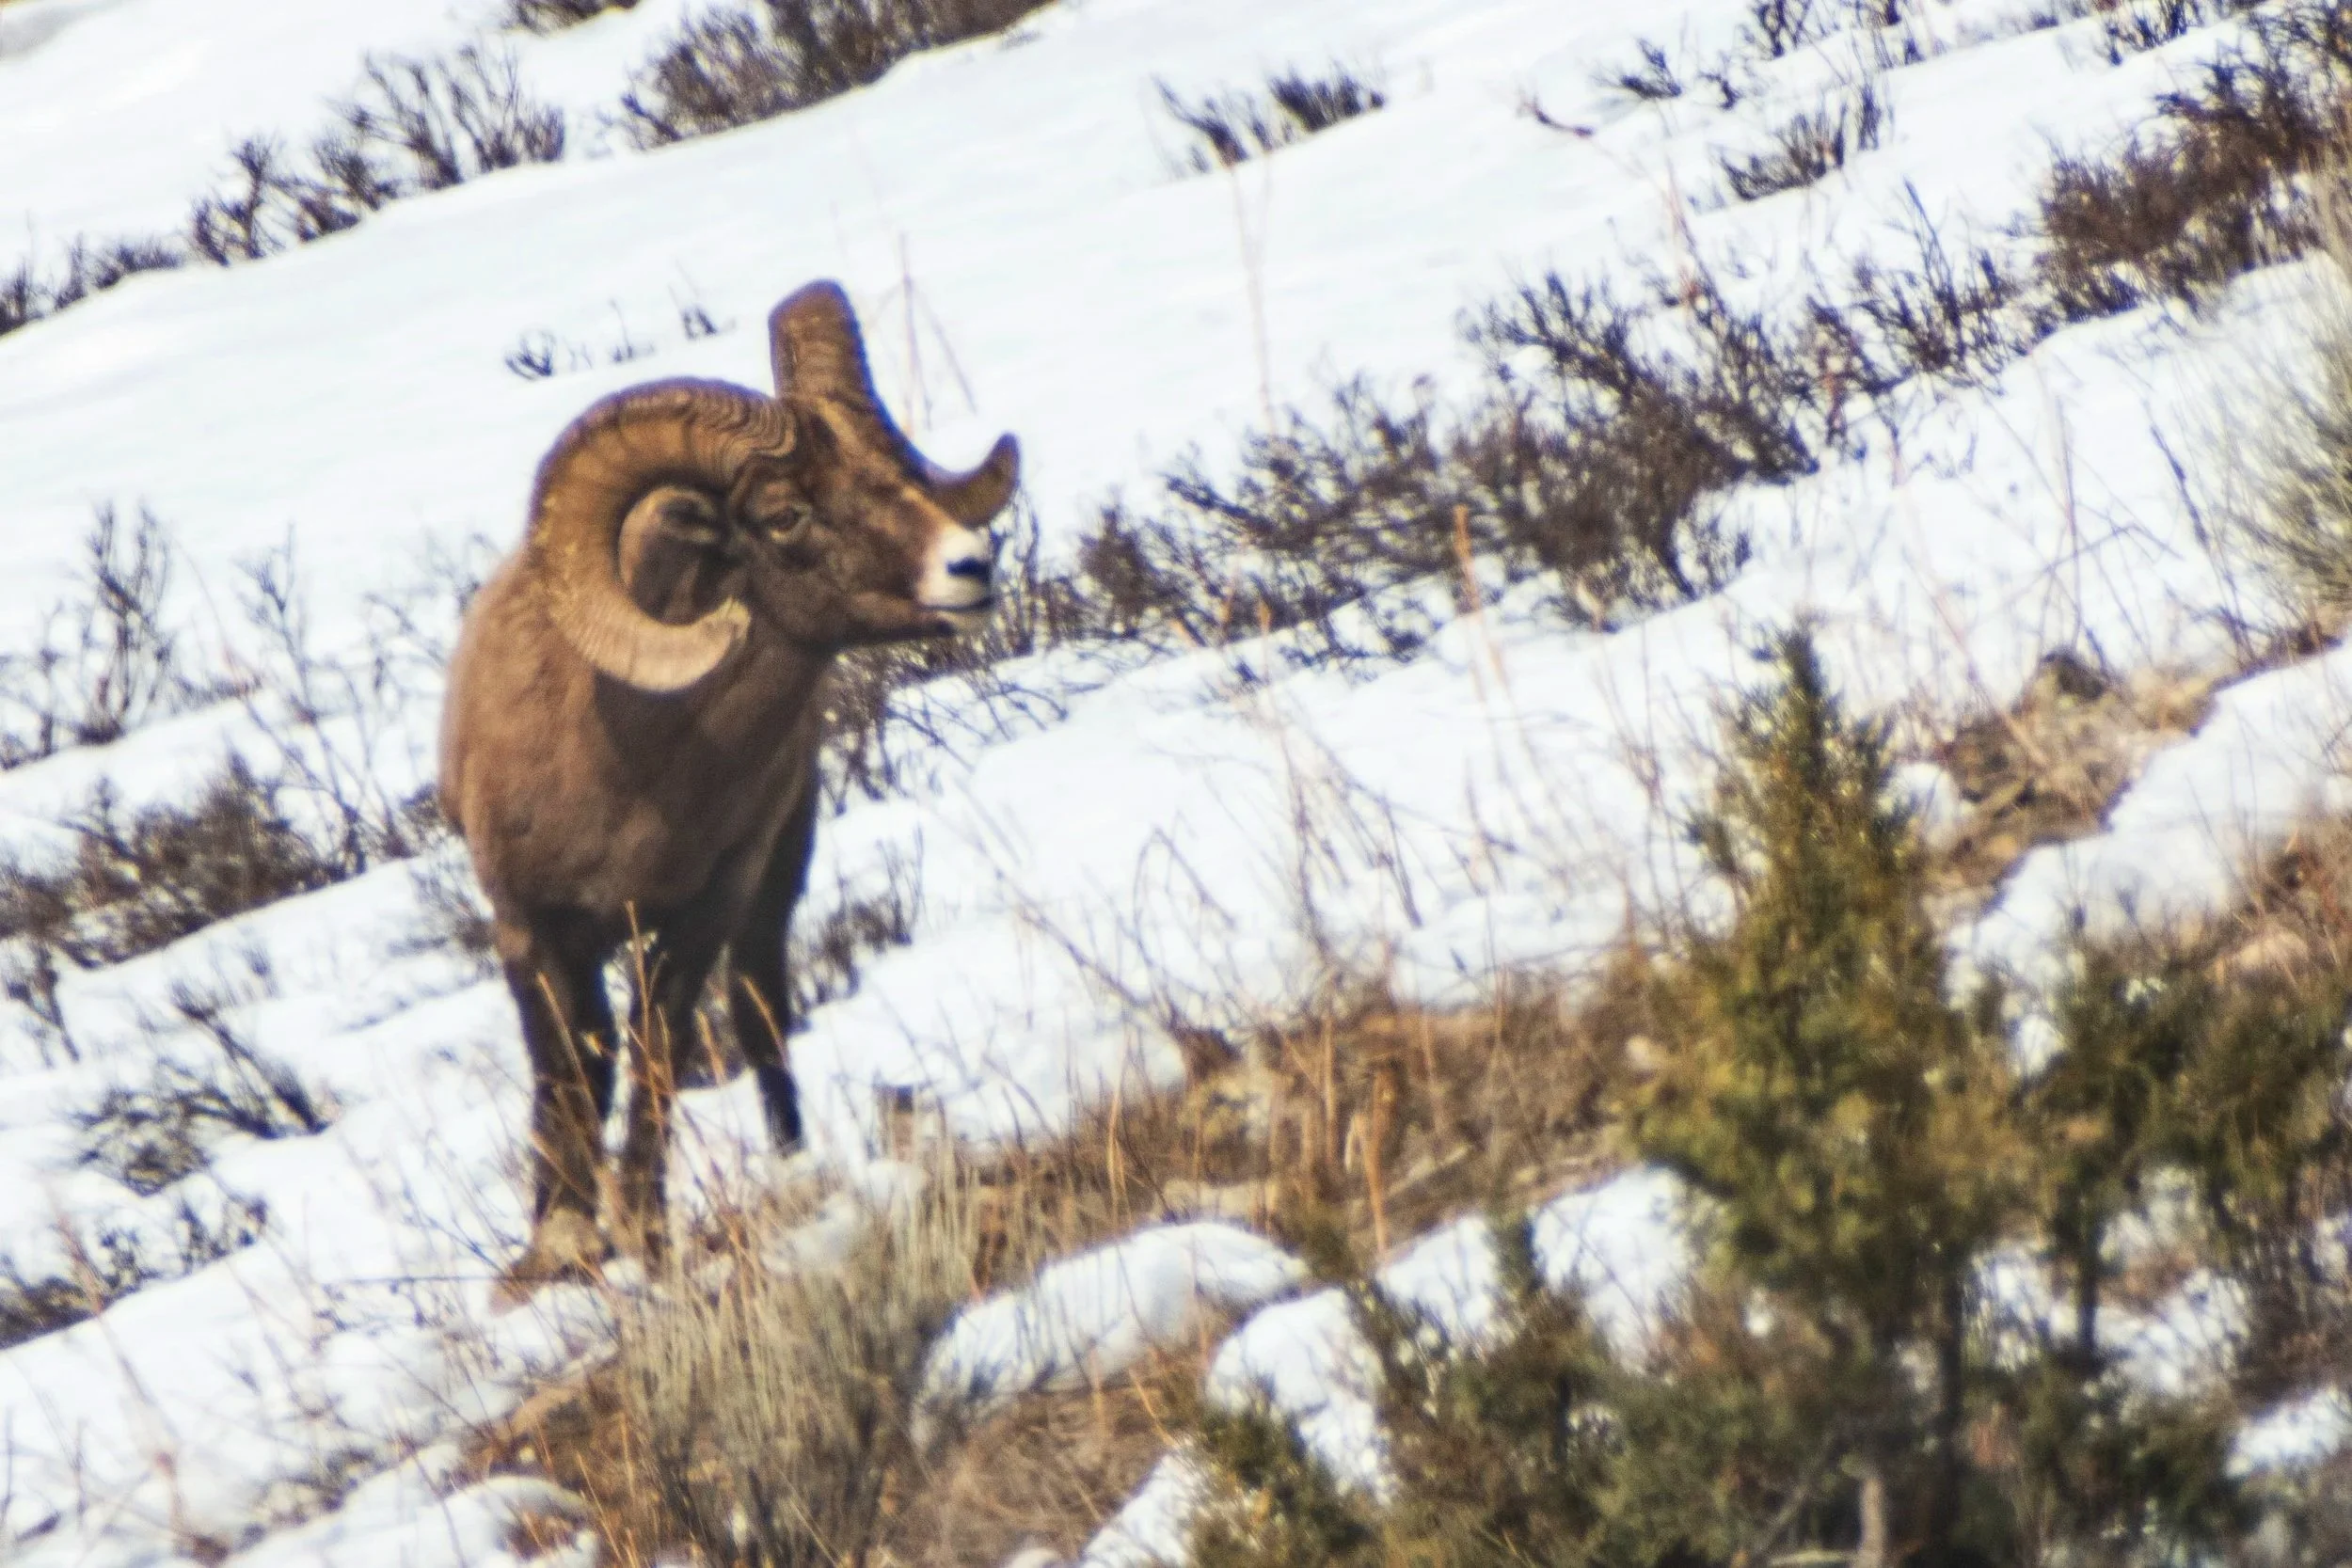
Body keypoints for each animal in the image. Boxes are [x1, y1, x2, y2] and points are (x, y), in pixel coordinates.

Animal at [439, 280, 1019, 1291]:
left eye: (890, 468)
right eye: (785, 515)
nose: (971, 566)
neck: (631, 770)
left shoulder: (704, 911)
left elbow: (661, 1057)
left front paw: (644, 1236)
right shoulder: (531, 930)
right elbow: (565, 1075)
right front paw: (558, 1251)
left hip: (773, 891)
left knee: (760, 1022)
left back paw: (795, 1164)